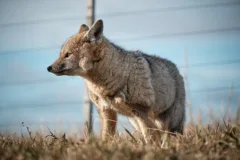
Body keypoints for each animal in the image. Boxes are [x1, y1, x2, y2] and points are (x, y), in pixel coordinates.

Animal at [47, 19, 186, 143]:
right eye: (61, 54)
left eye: (67, 54)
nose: (49, 68)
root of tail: (176, 69)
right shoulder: (107, 111)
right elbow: (106, 137)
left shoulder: (142, 110)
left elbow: (151, 138)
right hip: (135, 120)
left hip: (170, 124)